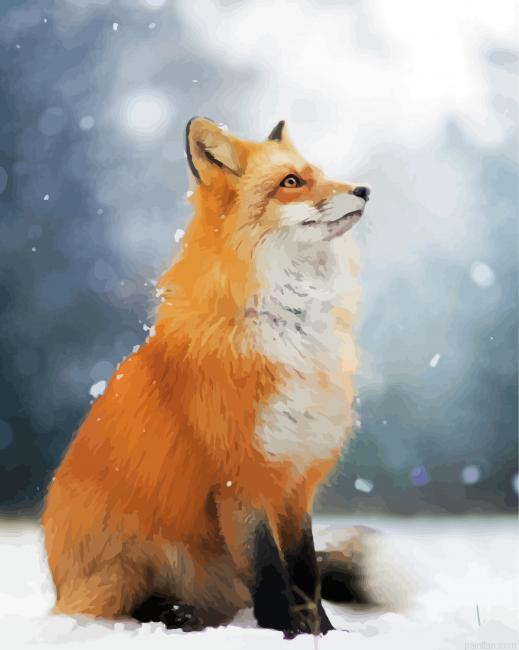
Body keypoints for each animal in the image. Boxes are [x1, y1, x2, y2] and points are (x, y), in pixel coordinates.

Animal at [42, 117, 372, 637]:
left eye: (318, 174)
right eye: (291, 182)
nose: (364, 190)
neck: (290, 328)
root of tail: (58, 584)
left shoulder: (295, 479)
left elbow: (305, 571)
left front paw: (324, 634)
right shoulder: (240, 479)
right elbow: (270, 573)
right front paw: (283, 634)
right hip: (132, 562)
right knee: (117, 607)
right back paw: (173, 614)